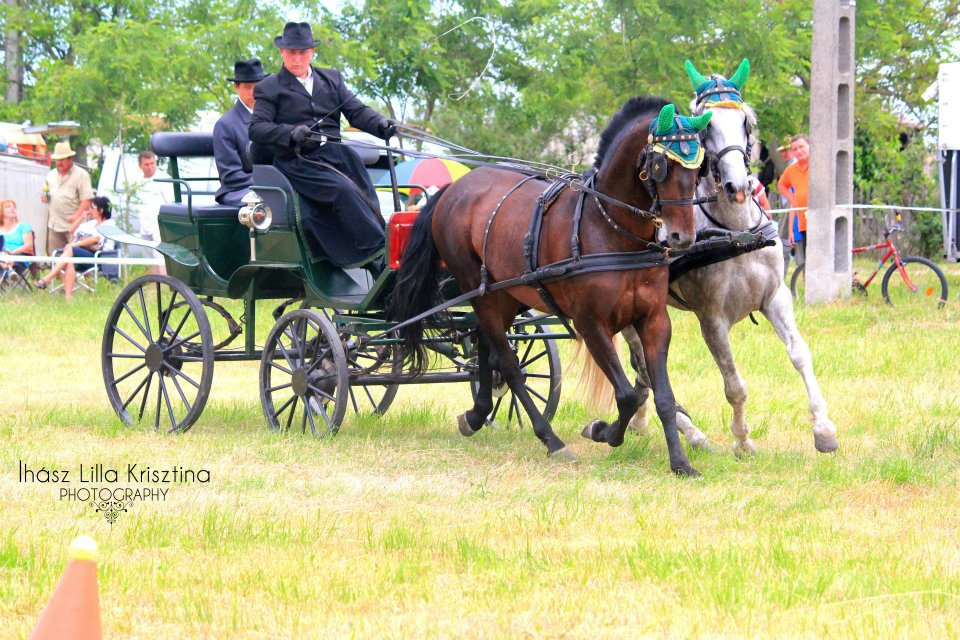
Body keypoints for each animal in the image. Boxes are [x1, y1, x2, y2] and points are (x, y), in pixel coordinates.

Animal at [390, 97, 712, 472]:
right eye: (661, 165)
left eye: (699, 168)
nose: (681, 237)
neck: (610, 228)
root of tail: (456, 187)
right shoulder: (591, 324)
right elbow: (627, 395)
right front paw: (602, 431)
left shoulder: (655, 321)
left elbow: (663, 396)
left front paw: (681, 463)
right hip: (480, 291)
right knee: (510, 367)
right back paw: (551, 439)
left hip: (504, 294)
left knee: (486, 347)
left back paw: (476, 415)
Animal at [584, 61, 840, 456]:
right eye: (707, 128)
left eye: (745, 122)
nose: (739, 187)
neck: (736, 233)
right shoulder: (712, 318)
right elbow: (734, 384)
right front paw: (743, 440)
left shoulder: (776, 297)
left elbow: (800, 355)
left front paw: (824, 429)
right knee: (642, 365)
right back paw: (689, 432)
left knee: (641, 370)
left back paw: (645, 422)